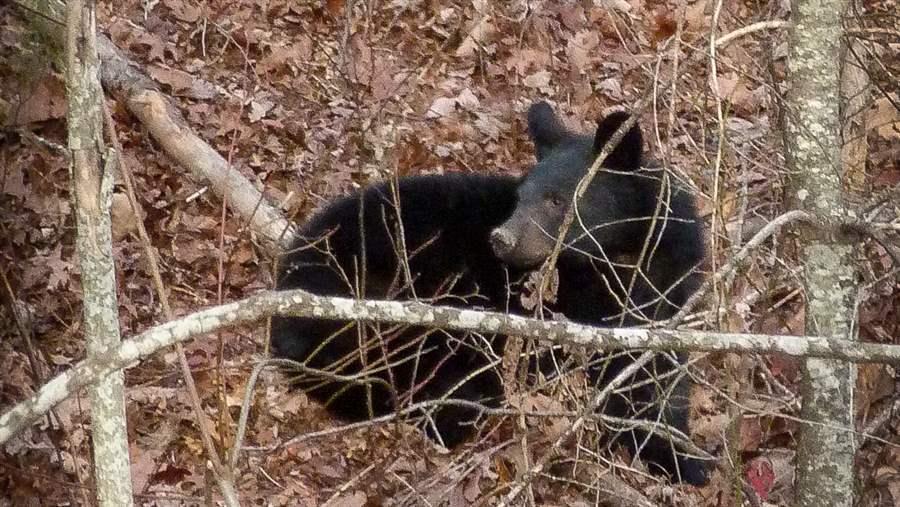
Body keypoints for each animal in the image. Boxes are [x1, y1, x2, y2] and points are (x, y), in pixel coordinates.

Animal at [270, 102, 708, 485]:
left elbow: (662, 374)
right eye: (521, 197)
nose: (501, 238)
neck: (628, 257)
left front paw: (684, 456)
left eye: (556, 200)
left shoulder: (672, 291)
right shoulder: (576, 308)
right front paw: (672, 456)